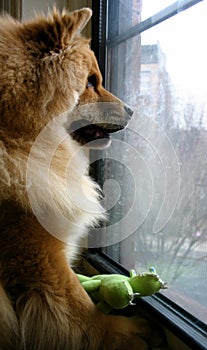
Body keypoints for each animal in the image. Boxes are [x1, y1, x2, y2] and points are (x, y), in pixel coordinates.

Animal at [0, 8, 152, 350]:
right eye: (91, 81)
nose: (132, 110)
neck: (15, 137)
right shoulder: (40, 261)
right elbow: (81, 309)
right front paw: (130, 333)